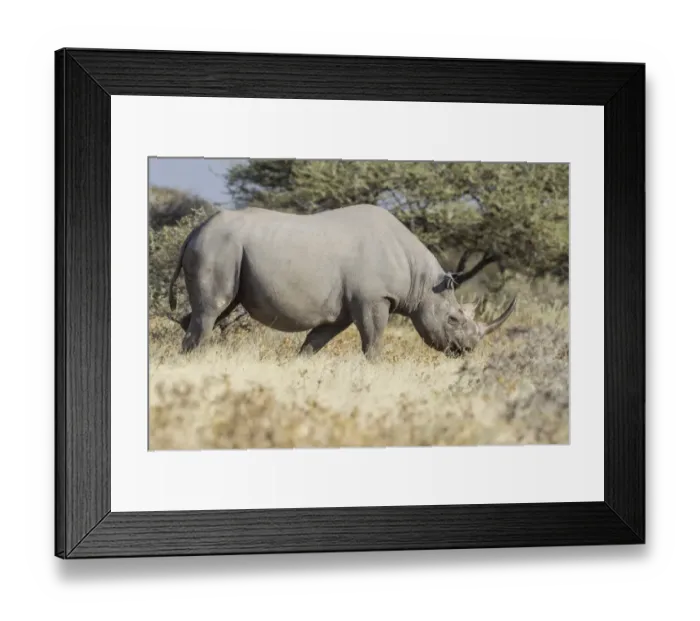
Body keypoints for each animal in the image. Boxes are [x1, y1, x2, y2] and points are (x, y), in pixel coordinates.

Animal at [168, 204, 516, 358]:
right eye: (453, 319)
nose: (468, 349)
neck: (421, 281)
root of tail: (194, 230)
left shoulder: (343, 310)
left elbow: (314, 343)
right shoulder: (374, 298)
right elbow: (373, 342)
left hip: (221, 247)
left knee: (213, 311)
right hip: (218, 246)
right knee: (212, 310)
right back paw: (194, 361)